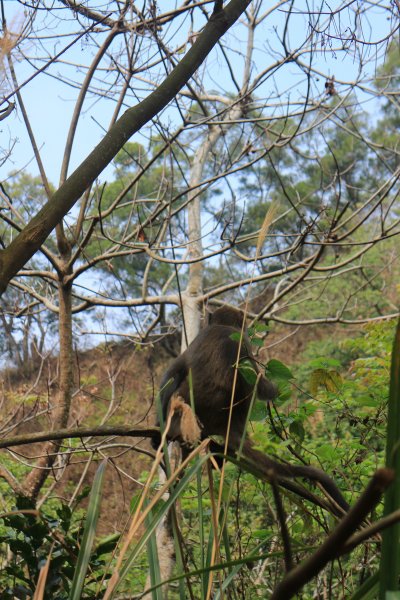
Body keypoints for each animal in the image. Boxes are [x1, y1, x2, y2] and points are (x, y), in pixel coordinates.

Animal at [152, 308, 348, 512]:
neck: (224, 326)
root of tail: (230, 424)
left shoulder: (214, 338)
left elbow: (173, 372)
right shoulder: (241, 343)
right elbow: (261, 386)